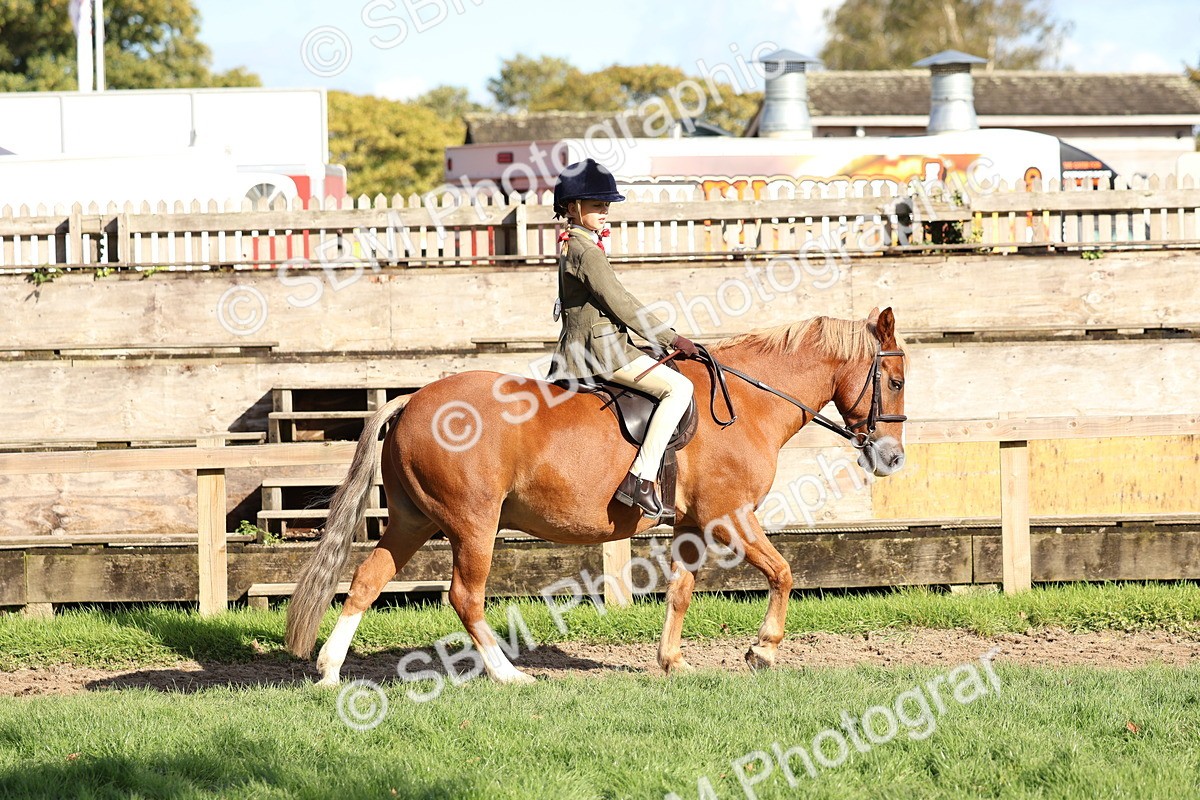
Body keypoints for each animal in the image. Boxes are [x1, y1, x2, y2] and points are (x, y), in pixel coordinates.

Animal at [284, 307, 908, 684]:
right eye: (896, 381)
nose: (893, 459)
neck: (747, 404)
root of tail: (411, 400)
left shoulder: (693, 525)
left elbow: (681, 592)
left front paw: (673, 661)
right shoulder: (731, 516)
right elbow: (782, 572)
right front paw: (764, 650)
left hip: (412, 520)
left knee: (368, 580)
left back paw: (329, 670)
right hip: (472, 524)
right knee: (465, 597)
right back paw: (508, 676)